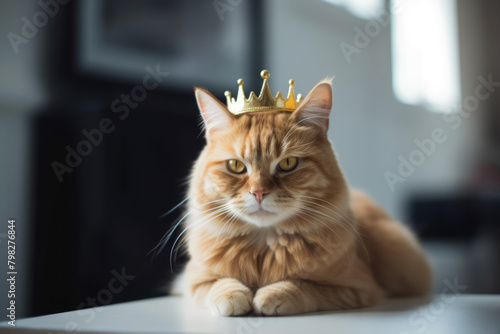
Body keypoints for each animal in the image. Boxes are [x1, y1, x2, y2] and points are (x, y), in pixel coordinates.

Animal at [174, 77, 432, 316]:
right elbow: (217, 284)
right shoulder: (191, 281)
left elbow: (304, 286)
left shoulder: (358, 288)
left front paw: (270, 295)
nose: (259, 192)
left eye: (288, 163)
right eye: (236, 166)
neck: (264, 248)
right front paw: (234, 296)